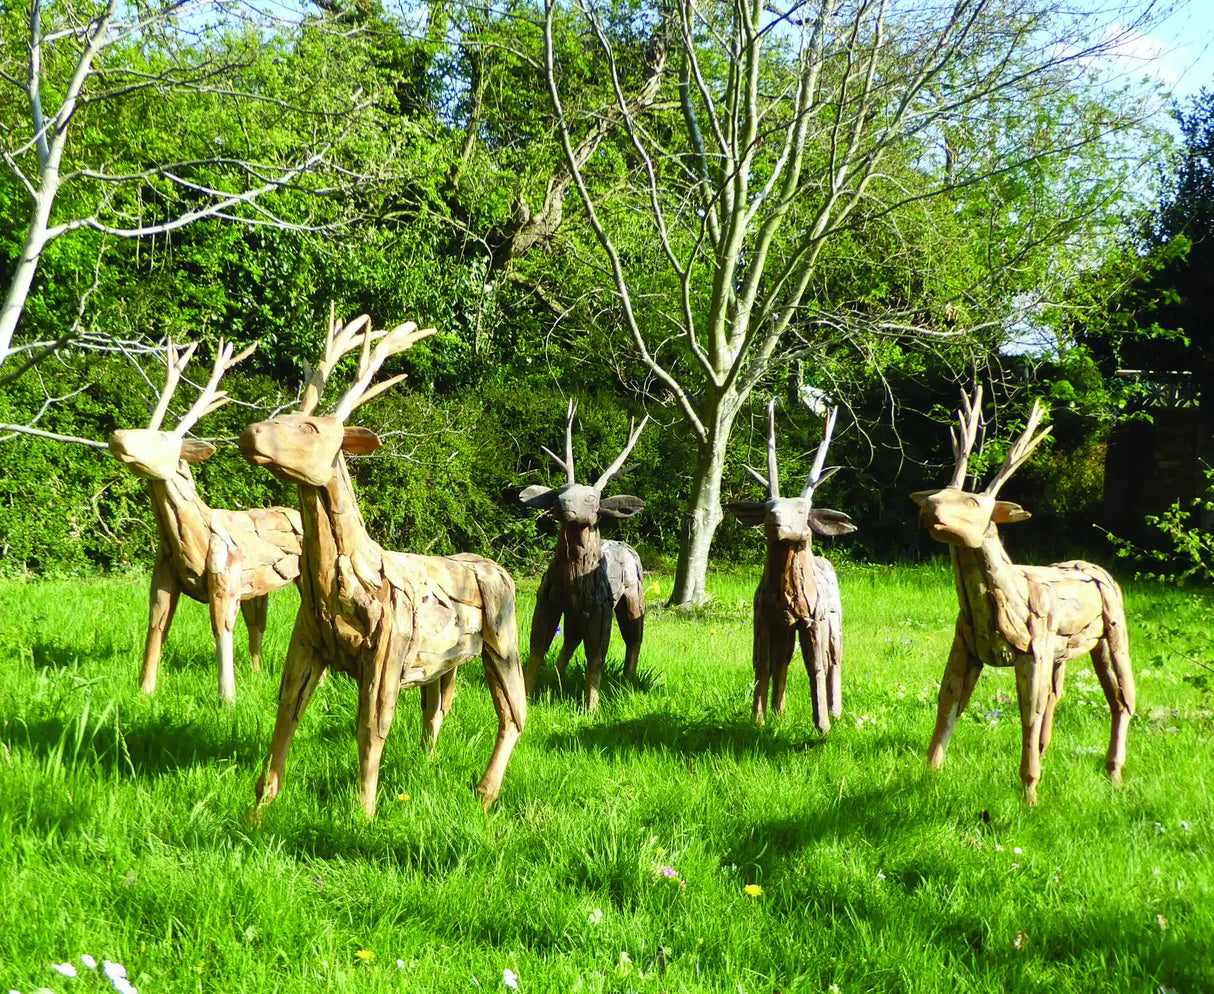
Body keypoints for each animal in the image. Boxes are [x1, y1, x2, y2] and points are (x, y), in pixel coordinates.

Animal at [106, 340, 303, 705]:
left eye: (165, 441)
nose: (117, 436)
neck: (189, 542)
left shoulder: (225, 576)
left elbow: (221, 629)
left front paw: (227, 699)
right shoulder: (164, 576)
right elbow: (156, 625)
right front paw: (145, 691)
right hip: (257, 588)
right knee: (258, 625)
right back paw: (257, 674)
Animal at [237, 310, 527, 816]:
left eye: (312, 429)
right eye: (281, 416)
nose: (250, 434)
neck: (337, 587)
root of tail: (500, 568)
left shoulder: (388, 646)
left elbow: (371, 728)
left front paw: (364, 813)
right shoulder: (307, 639)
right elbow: (287, 709)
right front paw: (261, 805)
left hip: (502, 636)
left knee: (515, 712)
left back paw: (485, 793)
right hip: (448, 657)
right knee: (438, 707)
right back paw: (430, 764)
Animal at [512, 400, 648, 712]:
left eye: (591, 499)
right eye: (560, 491)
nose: (562, 505)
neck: (572, 579)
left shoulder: (601, 608)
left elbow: (596, 656)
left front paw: (591, 708)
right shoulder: (548, 600)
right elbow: (537, 646)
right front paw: (526, 695)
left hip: (634, 594)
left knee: (635, 636)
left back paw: (628, 682)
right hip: (575, 613)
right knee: (570, 640)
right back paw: (557, 677)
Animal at [725, 399, 857, 732]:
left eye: (803, 510)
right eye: (768, 507)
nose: (775, 521)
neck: (787, 596)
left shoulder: (813, 620)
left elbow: (817, 666)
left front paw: (822, 725)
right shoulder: (765, 618)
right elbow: (763, 663)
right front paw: (759, 720)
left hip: (834, 623)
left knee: (835, 658)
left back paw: (836, 711)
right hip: (786, 630)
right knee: (782, 660)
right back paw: (778, 712)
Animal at [912, 385, 1135, 804]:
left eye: (973, 503)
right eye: (939, 493)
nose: (930, 508)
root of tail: (1097, 568)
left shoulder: (1034, 649)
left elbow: (1027, 714)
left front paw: (1030, 795)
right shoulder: (965, 645)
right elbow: (948, 702)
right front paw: (928, 775)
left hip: (1112, 633)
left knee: (1123, 698)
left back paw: (1114, 772)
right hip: (1067, 653)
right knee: (1059, 697)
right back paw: (1054, 752)